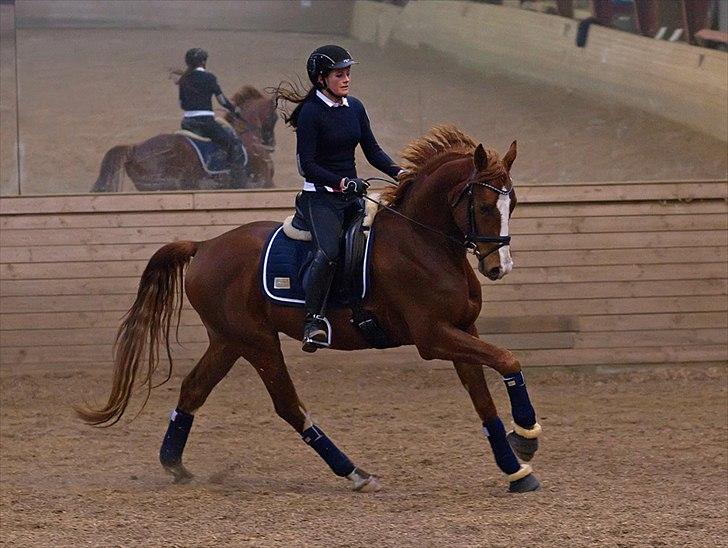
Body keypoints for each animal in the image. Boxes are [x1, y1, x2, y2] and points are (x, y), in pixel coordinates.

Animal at [78, 126, 540, 494]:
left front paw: (516, 469)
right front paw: (527, 437)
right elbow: (508, 359)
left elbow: (484, 399)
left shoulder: (462, 330)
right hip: (257, 342)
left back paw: (175, 465)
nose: (498, 267)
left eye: (513, 204)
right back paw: (355, 473)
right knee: (288, 405)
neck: (423, 243)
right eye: (483, 206)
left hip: (228, 341)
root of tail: (205, 246)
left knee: (193, 390)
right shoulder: (434, 337)